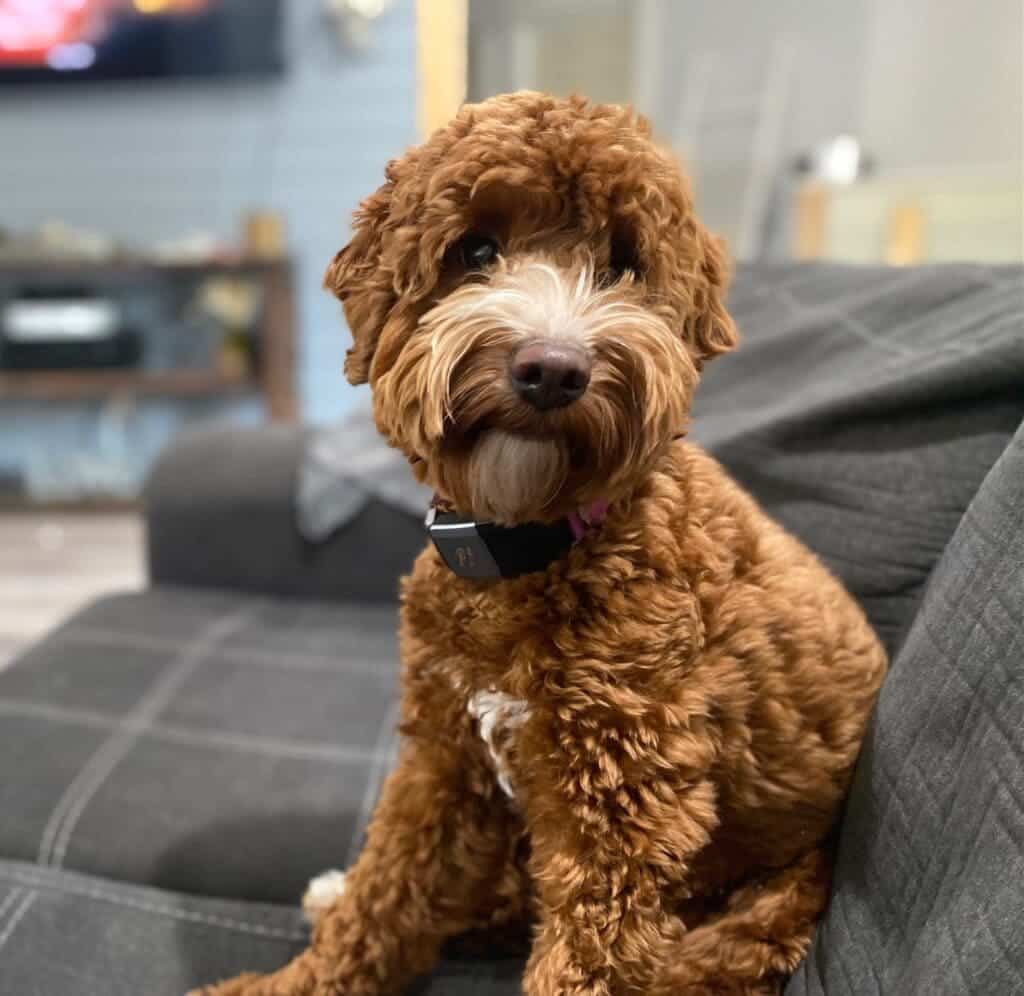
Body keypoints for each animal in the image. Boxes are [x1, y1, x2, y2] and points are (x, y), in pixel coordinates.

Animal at [192, 93, 888, 994]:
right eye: (476, 250)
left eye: (626, 264)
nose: (552, 369)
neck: (527, 545)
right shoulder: (444, 757)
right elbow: (385, 893)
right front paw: (303, 975)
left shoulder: (624, 805)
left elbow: (581, 956)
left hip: (757, 917)